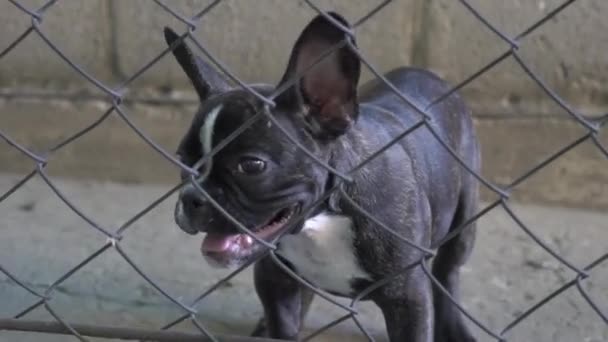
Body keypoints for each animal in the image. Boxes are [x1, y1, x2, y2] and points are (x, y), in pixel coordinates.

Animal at [167, 11, 480, 342]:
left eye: (251, 165)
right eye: (183, 160)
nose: (192, 198)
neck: (323, 217)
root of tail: (427, 74)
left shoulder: (407, 298)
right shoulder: (277, 280)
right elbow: (284, 325)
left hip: (464, 220)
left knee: (448, 271)